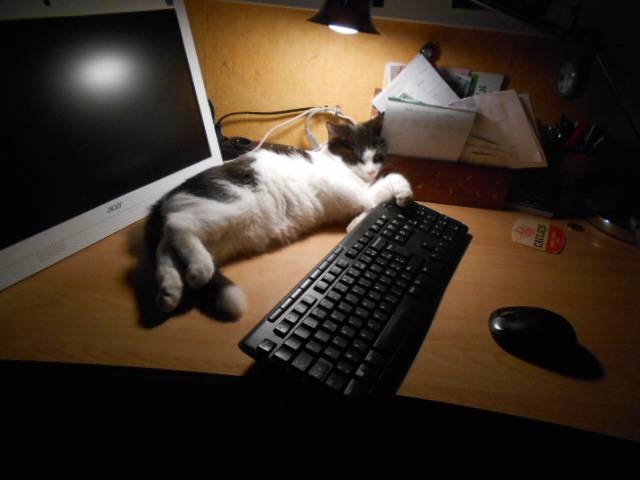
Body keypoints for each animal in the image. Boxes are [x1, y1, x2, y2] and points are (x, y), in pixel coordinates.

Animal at [145, 115, 413, 319]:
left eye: (377, 157)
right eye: (357, 157)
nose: (371, 172)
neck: (340, 165)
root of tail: (166, 197)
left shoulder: (363, 196)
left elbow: (370, 209)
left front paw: (357, 223)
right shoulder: (362, 194)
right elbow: (391, 181)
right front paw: (404, 192)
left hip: (223, 238)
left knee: (165, 247)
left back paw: (170, 290)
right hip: (231, 208)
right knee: (178, 225)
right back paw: (199, 270)